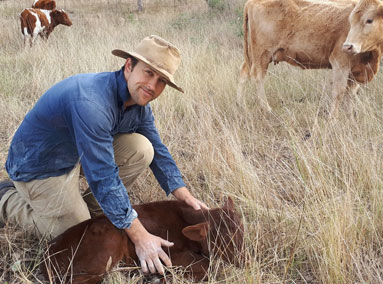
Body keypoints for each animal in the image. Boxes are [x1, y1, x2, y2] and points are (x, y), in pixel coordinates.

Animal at [40, 199, 244, 284]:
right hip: (106, 246)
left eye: (242, 232)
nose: (244, 261)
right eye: (225, 240)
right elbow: (206, 265)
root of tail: (46, 257)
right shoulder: (170, 255)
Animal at [238, 0, 383, 117]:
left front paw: (350, 118)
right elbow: (339, 92)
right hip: (262, 55)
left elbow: (350, 94)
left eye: (369, 20)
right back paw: (267, 109)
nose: (348, 46)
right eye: (351, 21)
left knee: (244, 73)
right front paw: (333, 118)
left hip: (252, 56)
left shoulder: (355, 71)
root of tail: (251, 2)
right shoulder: (340, 63)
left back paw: (242, 106)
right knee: (258, 77)